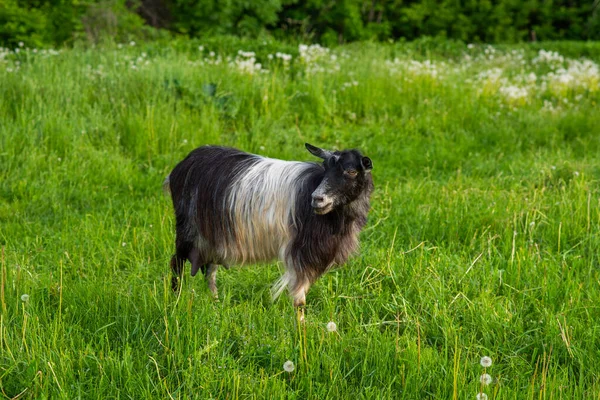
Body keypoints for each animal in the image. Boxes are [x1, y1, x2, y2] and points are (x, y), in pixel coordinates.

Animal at [162, 143, 372, 306]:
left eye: (352, 171)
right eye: (325, 169)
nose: (317, 199)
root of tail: (180, 167)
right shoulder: (301, 253)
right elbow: (299, 298)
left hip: (213, 236)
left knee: (209, 271)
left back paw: (215, 303)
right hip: (188, 228)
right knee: (177, 262)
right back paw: (175, 301)